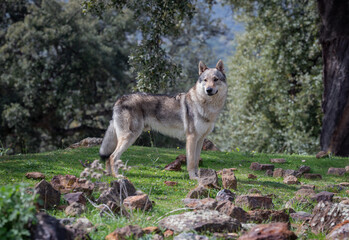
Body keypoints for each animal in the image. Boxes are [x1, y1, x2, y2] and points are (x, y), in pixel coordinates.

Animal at [99, 59, 227, 179]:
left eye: (215, 79)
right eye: (205, 80)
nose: (208, 90)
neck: (206, 106)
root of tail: (119, 99)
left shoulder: (200, 139)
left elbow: (196, 161)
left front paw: (198, 176)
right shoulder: (191, 137)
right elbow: (191, 162)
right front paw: (193, 177)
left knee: (108, 157)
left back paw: (109, 175)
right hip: (130, 137)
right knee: (112, 157)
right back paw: (117, 176)